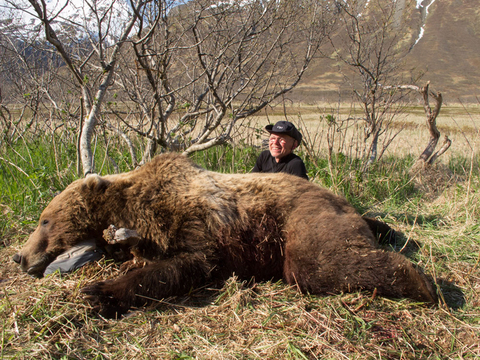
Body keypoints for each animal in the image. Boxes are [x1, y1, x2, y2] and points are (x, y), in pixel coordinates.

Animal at [13, 153, 436, 316]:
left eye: (44, 221)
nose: (20, 256)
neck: (133, 204)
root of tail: (336, 195)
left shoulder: (198, 225)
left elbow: (188, 264)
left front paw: (99, 292)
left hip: (301, 218)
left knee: (318, 264)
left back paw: (424, 283)